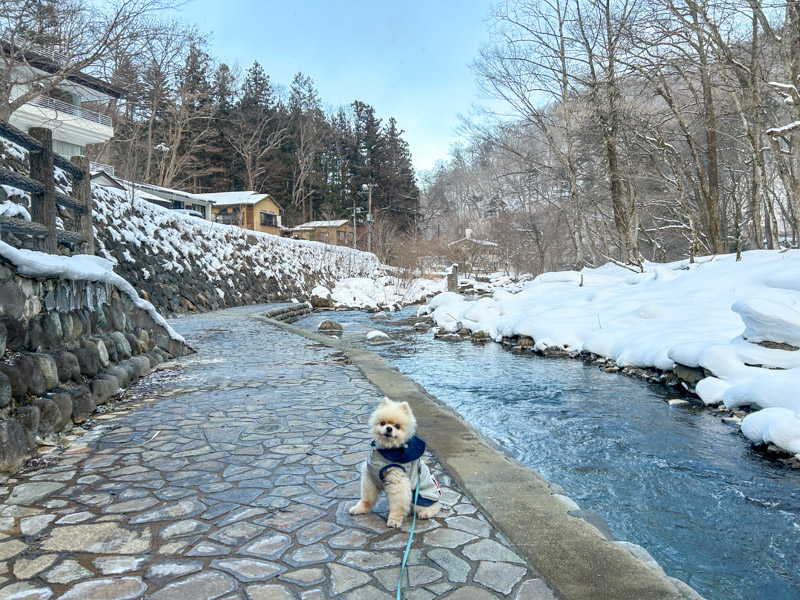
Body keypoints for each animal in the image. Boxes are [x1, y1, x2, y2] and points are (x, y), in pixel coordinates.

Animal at [348, 398, 440, 528]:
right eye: (382, 423)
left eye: (397, 426)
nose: (389, 428)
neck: (386, 450)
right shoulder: (370, 476)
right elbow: (367, 497)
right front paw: (360, 508)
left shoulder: (397, 480)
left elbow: (398, 505)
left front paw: (394, 520)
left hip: (420, 497)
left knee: (435, 505)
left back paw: (426, 513)